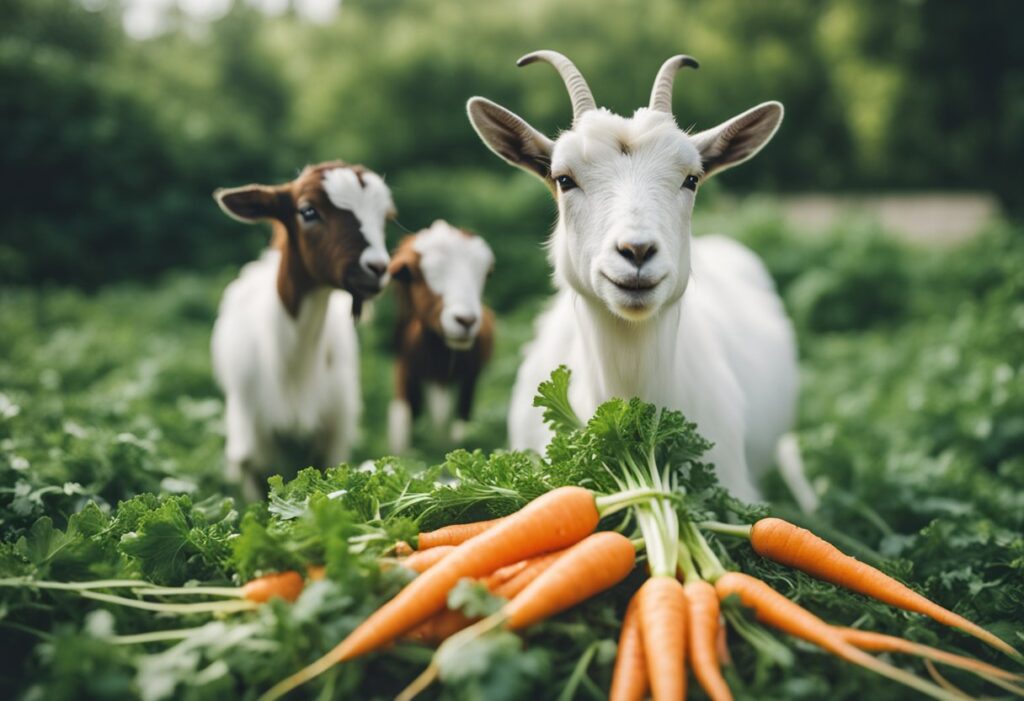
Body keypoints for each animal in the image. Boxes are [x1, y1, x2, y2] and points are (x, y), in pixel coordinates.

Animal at [211, 161, 395, 498]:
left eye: (385, 218)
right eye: (308, 211)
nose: (377, 268)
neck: (293, 371)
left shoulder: (333, 431)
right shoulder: (253, 436)